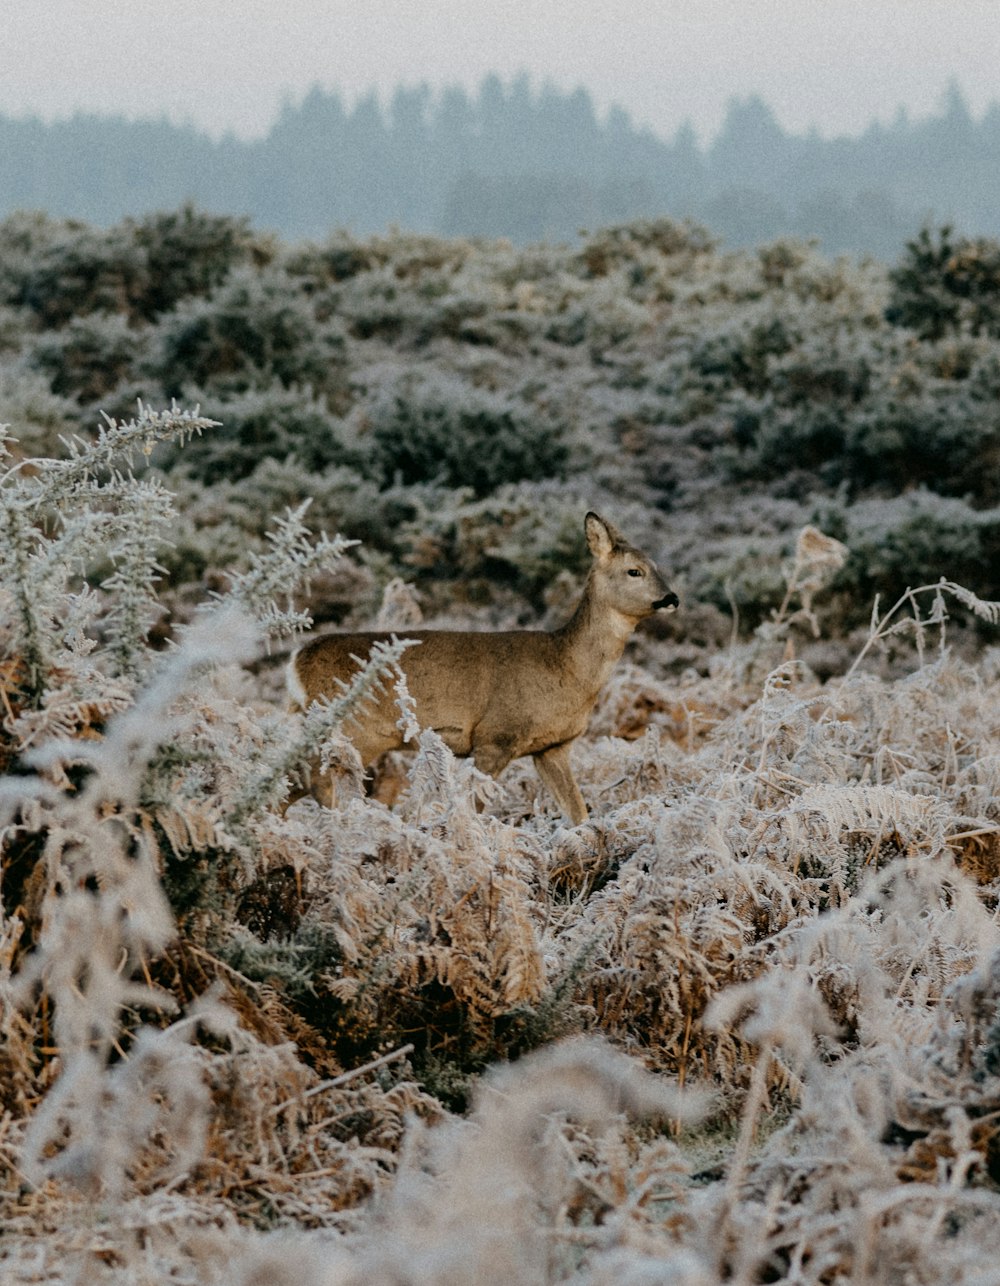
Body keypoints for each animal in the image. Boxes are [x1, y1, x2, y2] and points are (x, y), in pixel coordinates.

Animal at [287, 511, 678, 823]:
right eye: (634, 571)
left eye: (658, 568)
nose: (671, 598)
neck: (566, 665)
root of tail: (297, 663)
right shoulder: (495, 735)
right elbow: (472, 806)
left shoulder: (552, 747)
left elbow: (577, 811)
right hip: (354, 729)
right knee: (317, 782)